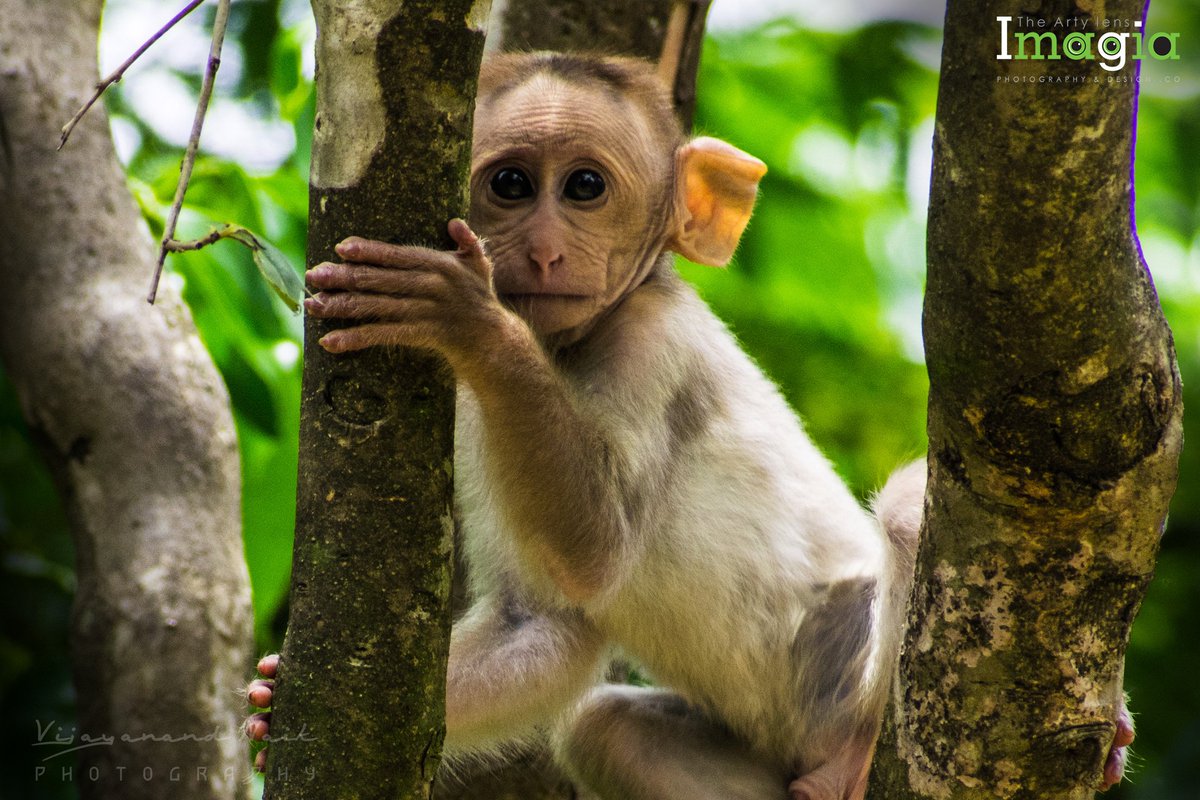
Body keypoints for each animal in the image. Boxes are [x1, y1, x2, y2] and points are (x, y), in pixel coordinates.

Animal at [245, 53, 1134, 799]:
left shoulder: (650, 344)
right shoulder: (468, 416)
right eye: (510, 184)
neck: (574, 347)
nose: (543, 253)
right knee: (606, 730)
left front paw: (474, 320)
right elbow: (545, 624)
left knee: (912, 511)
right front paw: (268, 698)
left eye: (584, 188)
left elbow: (595, 551)